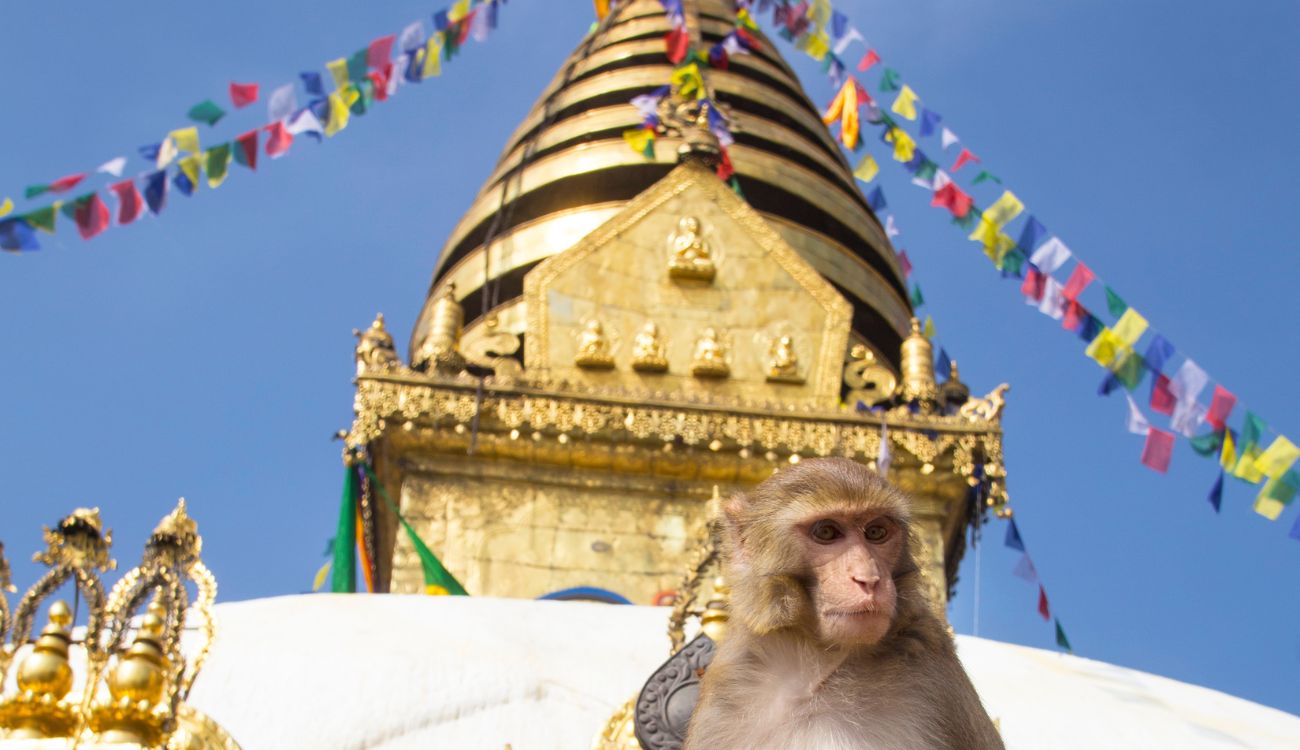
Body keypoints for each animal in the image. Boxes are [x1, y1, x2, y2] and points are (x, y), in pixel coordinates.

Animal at [684, 458, 1004, 750]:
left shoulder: (936, 666)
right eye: (826, 532)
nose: (869, 579)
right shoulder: (727, 694)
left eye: (876, 532)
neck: (815, 667)